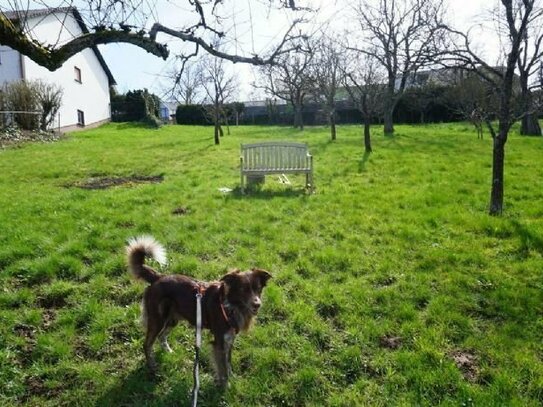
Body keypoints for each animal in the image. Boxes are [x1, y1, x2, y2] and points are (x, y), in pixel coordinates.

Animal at [126, 236, 272, 386]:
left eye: (258, 288)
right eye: (243, 289)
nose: (257, 304)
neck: (231, 305)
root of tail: (158, 277)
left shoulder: (230, 338)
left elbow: (229, 362)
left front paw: (233, 378)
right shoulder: (219, 342)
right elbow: (223, 368)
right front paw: (226, 386)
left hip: (172, 319)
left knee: (162, 336)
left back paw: (169, 352)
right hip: (157, 320)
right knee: (147, 344)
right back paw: (152, 367)